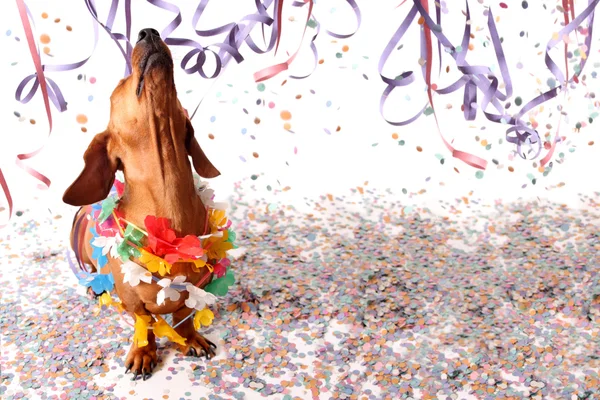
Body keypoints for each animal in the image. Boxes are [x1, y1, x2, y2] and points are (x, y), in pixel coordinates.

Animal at [63, 28, 223, 382]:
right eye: (120, 84)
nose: (148, 32)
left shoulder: (193, 293)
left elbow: (185, 314)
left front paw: (190, 338)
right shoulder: (133, 299)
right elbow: (144, 322)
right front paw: (143, 352)